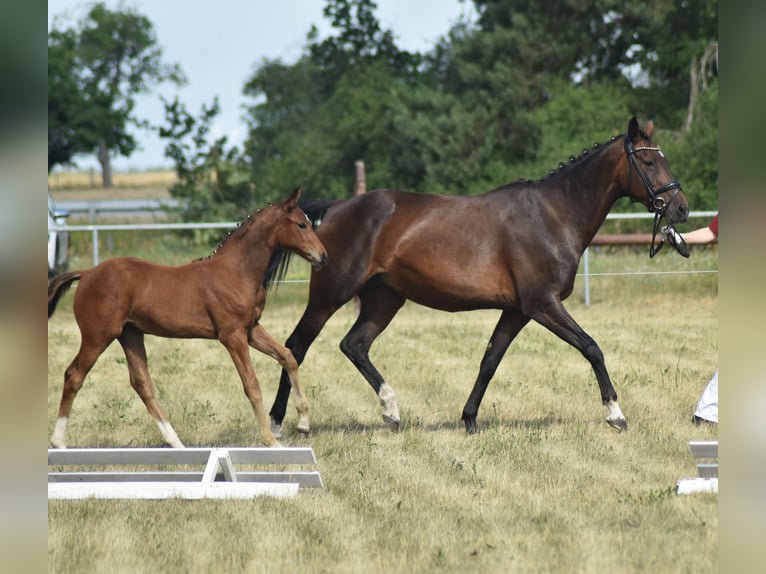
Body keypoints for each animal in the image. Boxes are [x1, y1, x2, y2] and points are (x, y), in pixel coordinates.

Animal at [47, 188, 328, 448]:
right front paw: (270, 440)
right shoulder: (232, 336)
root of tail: (86, 274)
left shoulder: (250, 329)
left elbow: (287, 356)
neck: (236, 272)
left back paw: (175, 441)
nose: (323, 256)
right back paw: (59, 441)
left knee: (142, 383)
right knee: (74, 375)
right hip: (97, 336)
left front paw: (303, 422)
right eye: (301, 224)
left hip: (130, 334)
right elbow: (252, 384)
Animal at [265, 117, 689, 436]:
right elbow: (591, 347)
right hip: (329, 295)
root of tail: (336, 208)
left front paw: (469, 420)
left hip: (384, 300)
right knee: (295, 346)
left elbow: (489, 361)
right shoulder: (543, 304)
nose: (681, 209)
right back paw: (282, 422)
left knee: (354, 345)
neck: (553, 215)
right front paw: (615, 414)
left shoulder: (517, 311)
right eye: (649, 164)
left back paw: (391, 411)